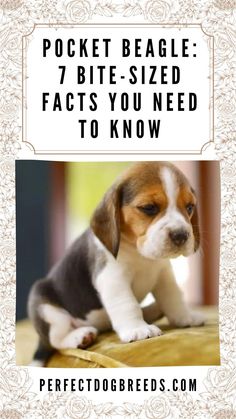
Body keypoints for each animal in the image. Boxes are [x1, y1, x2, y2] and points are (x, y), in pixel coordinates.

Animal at [27, 162, 205, 366]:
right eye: (149, 208)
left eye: (190, 207)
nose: (181, 235)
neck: (140, 254)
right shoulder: (112, 278)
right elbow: (127, 304)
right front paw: (138, 329)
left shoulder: (164, 275)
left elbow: (174, 297)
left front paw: (185, 317)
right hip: (44, 304)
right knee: (56, 340)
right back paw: (80, 337)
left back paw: (155, 309)